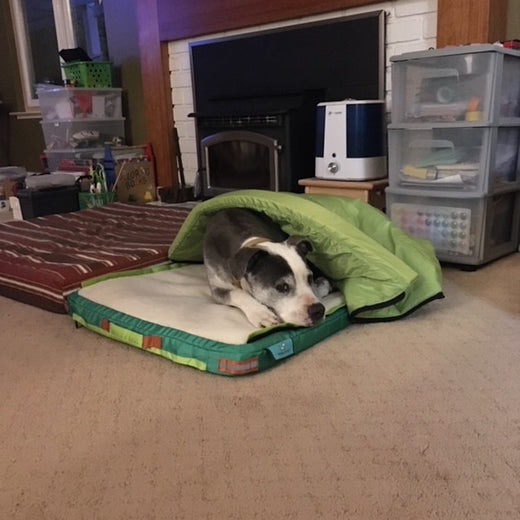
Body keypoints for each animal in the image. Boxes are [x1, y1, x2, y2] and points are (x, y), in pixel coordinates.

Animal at [201, 206, 332, 324]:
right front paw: (261, 314)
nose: (318, 310)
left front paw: (322, 286)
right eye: (282, 287)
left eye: (310, 278)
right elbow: (238, 293)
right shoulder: (217, 288)